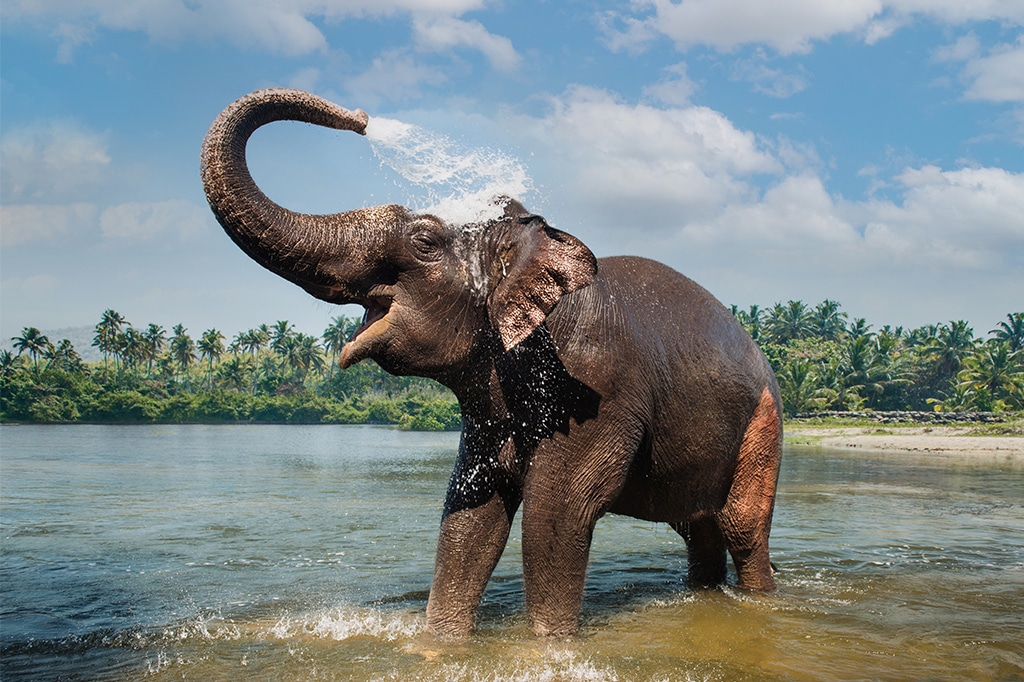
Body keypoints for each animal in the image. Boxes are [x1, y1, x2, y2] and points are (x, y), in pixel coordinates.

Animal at [201, 88, 783, 639]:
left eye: (424, 241)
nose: (361, 117)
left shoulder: (597, 386)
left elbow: (556, 514)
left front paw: (548, 646)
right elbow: (470, 512)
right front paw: (439, 643)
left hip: (764, 422)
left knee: (742, 529)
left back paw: (760, 600)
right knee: (698, 528)